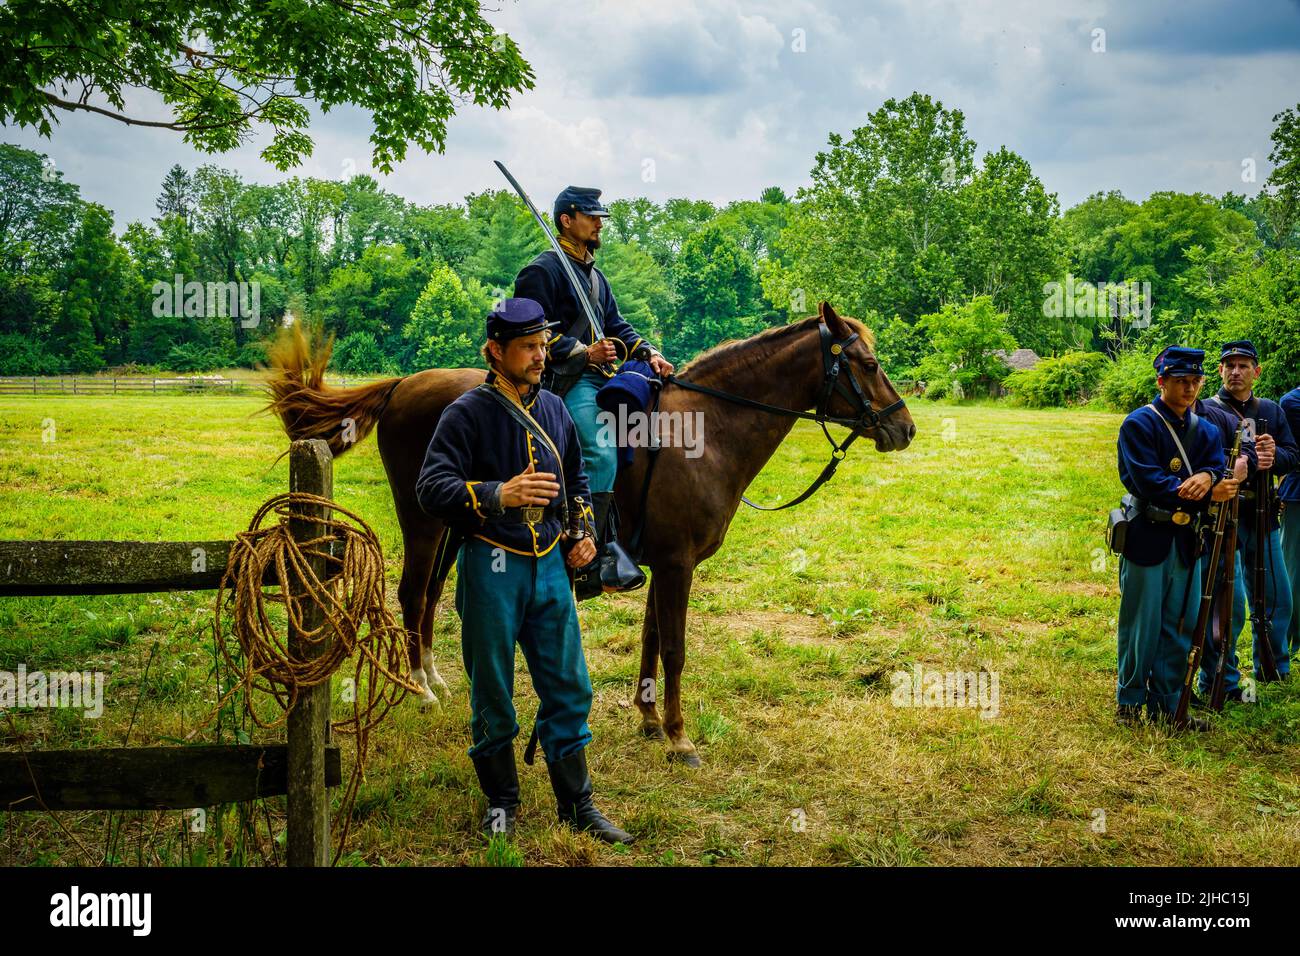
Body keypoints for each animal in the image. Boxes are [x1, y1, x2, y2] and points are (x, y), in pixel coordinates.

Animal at [263, 303, 915, 764]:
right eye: (867, 364)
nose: (904, 428)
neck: (704, 431)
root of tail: (403, 385)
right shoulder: (677, 565)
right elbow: (676, 648)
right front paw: (679, 737)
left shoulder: (662, 563)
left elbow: (652, 641)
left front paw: (650, 721)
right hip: (424, 521)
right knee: (410, 592)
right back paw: (420, 689)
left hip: (454, 528)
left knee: (425, 598)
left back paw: (436, 680)